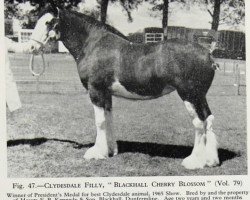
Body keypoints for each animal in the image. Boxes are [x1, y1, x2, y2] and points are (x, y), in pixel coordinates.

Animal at [29, 5, 220, 169]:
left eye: (48, 22)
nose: (32, 47)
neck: (93, 44)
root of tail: (208, 55)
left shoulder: (96, 91)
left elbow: (99, 121)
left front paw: (96, 153)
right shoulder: (106, 93)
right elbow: (108, 118)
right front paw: (110, 150)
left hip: (189, 94)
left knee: (199, 122)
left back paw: (194, 161)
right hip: (200, 96)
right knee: (208, 119)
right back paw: (210, 160)